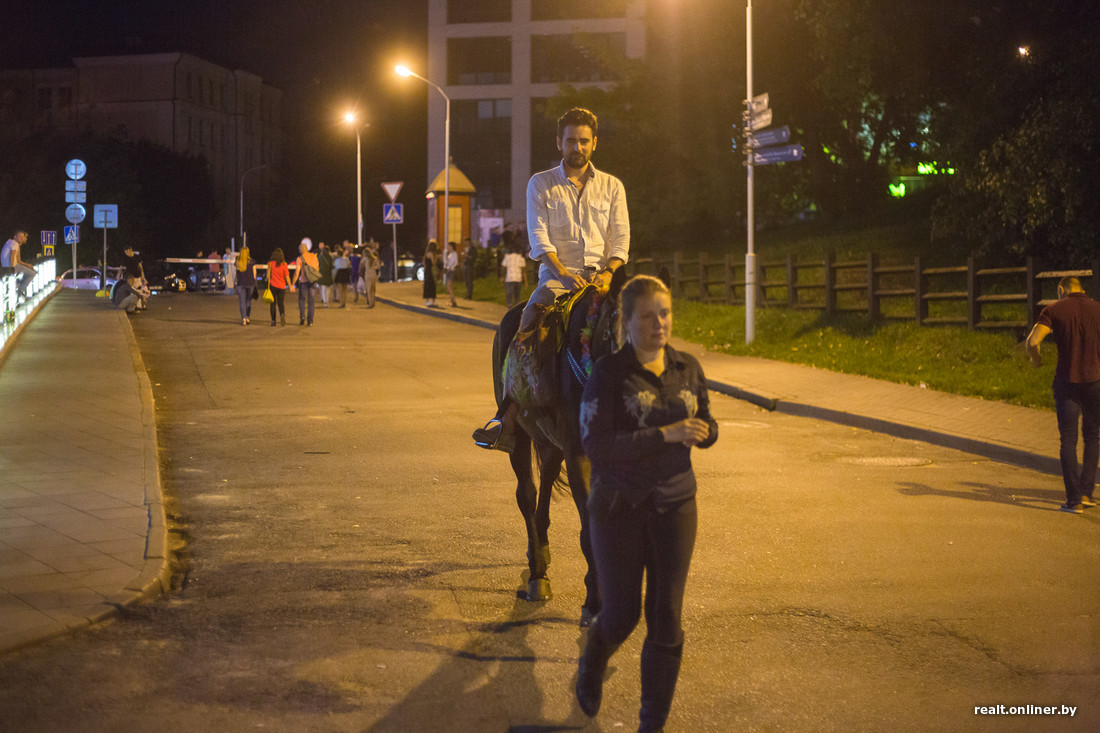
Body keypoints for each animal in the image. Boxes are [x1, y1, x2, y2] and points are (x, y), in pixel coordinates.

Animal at [492, 267, 629, 620]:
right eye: (615, 325)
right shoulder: (578, 455)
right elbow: (588, 529)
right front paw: (594, 602)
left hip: (552, 446)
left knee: (543, 495)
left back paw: (539, 552)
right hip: (521, 438)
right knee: (527, 495)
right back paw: (538, 576)